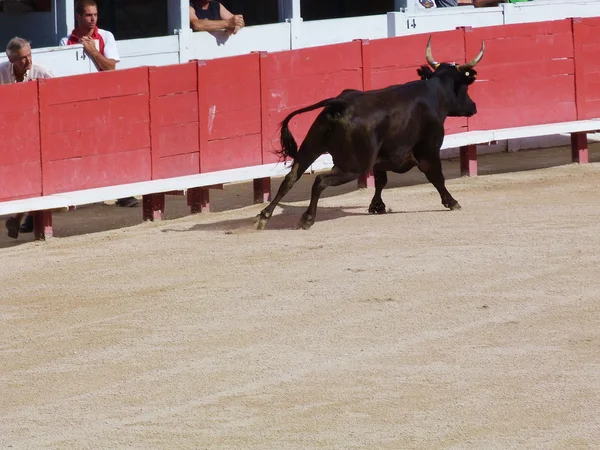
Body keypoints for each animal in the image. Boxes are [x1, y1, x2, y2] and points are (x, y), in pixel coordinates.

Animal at [252, 36, 482, 230]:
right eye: (465, 88)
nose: (473, 106)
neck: (435, 94)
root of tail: (341, 103)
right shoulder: (428, 149)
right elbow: (436, 177)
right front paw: (452, 202)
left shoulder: (382, 156)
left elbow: (381, 180)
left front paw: (377, 206)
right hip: (353, 165)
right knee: (320, 181)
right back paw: (307, 218)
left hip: (311, 146)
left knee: (290, 177)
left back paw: (263, 216)